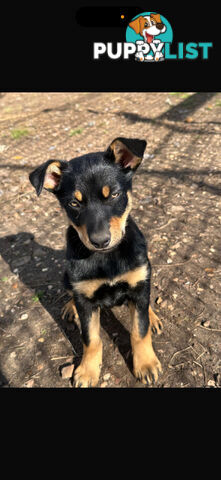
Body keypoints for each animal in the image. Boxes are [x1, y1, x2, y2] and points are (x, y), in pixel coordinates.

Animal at [29, 137, 162, 388]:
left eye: (114, 195)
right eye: (74, 203)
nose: (100, 241)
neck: (107, 258)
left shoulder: (138, 282)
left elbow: (139, 331)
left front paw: (146, 364)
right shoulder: (86, 298)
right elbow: (91, 339)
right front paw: (87, 371)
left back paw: (152, 316)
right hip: (66, 277)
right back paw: (70, 307)